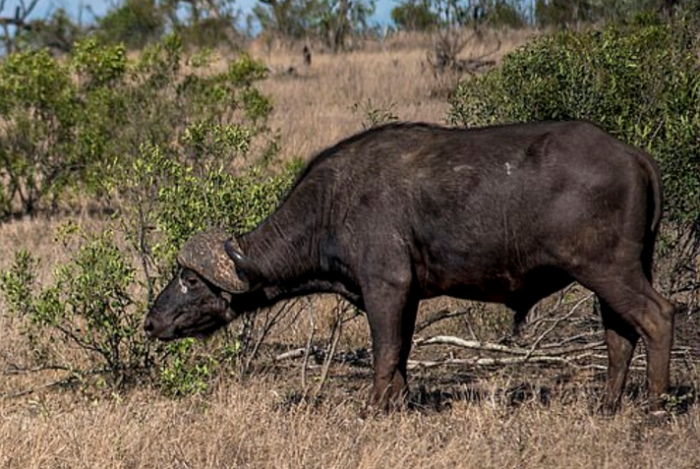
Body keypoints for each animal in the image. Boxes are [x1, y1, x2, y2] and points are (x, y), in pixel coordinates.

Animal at [144, 121, 672, 414]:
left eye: (188, 280)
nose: (151, 322)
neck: (333, 204)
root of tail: (634, 155)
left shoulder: (386, 287)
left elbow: (383, 354)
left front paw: (372, 408)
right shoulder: (409, 296)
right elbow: (400, 356)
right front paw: (398, 403)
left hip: (610, 270)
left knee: (657, 317)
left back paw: (654, 404)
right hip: (614, 275)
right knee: (618, 335)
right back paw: (607, 404)